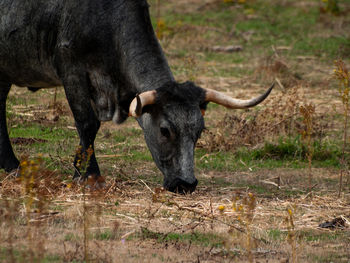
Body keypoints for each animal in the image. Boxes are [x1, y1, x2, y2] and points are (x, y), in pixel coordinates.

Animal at [0, 0, 274, 194]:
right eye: (165, 130)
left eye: (200, 131)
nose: (186, 184)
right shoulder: (71, 70)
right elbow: (87, 123)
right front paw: (89, 175)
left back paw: (10, 165)